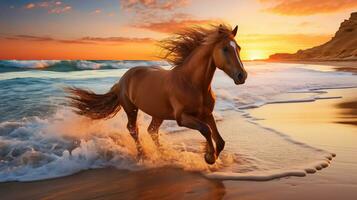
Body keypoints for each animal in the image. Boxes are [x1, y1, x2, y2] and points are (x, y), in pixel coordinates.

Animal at [65, 24, 246, 164]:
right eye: (225, 49)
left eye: (238, 48)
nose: (242, 76)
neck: (192, 84)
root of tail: (122, 80)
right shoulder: (182, 118)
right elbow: (206, 130)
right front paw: (209, 157)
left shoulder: (207, 114)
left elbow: (220, 140)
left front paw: (210, 155)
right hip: (131, 109)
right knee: (133, 129)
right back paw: (142, 155)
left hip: (158, 114)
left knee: (152, 131)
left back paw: (163, 154)